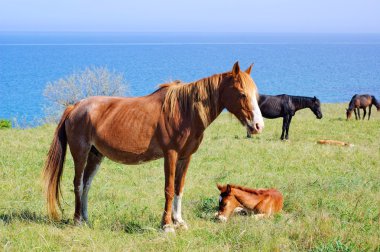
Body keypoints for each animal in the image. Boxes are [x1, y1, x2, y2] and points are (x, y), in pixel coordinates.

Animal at [42, 62, 264, 233]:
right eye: (242, 94)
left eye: (256, 94)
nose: (258, 125)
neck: (184, 110)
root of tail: (75, 106)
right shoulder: (170, 155)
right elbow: (168, 189)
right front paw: (167, 226)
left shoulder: (185, 157)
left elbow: (179, 188)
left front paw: (179, 222)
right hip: (80, 153)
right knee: (78, 184)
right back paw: (78, 220)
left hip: (96, 155)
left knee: (87, 184)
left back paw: (86, 219)